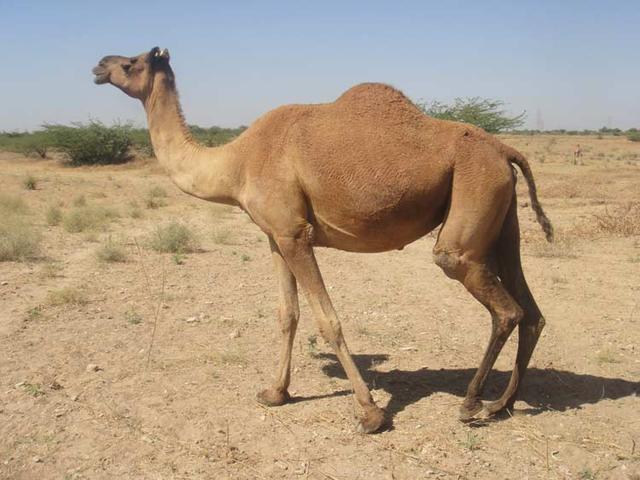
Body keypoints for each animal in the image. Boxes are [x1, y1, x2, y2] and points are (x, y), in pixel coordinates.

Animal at [92, 47, 553, 433]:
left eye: (130, 63)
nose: (98, 65)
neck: (236, 163)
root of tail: (506, 148)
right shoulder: (275, 236)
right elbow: (287, 314)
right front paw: (274, 393)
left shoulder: (296, 235)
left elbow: (327, 320)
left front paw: (370, 414)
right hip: (501, 212)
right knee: (531, 311)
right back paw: (502, 404)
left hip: (472, 196)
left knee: (495, 300)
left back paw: (471, 403)